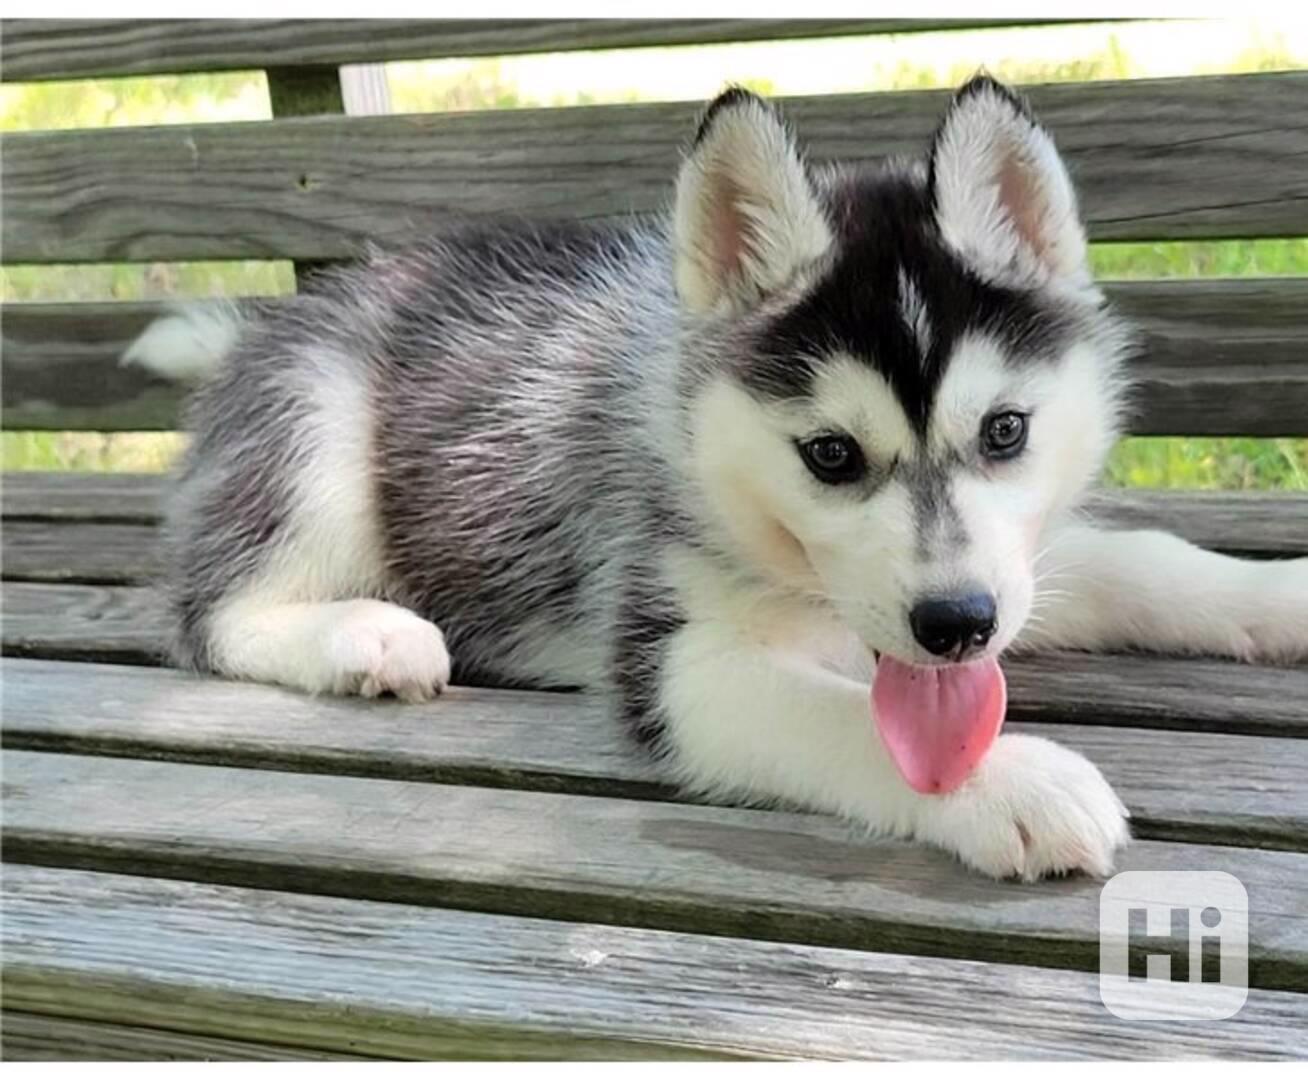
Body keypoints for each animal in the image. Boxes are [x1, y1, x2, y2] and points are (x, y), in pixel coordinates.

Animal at [132, 80, 1308, 878]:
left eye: (1006, 431)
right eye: (830, 455)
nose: (954, 625)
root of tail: (271, 322)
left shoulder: (1013, 570)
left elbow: (1138, 561)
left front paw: (1276, 594)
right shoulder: (671, 657)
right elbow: (846, 720)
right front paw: (1009, 779)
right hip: (318, 427)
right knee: (213, 614)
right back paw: (365, 636)